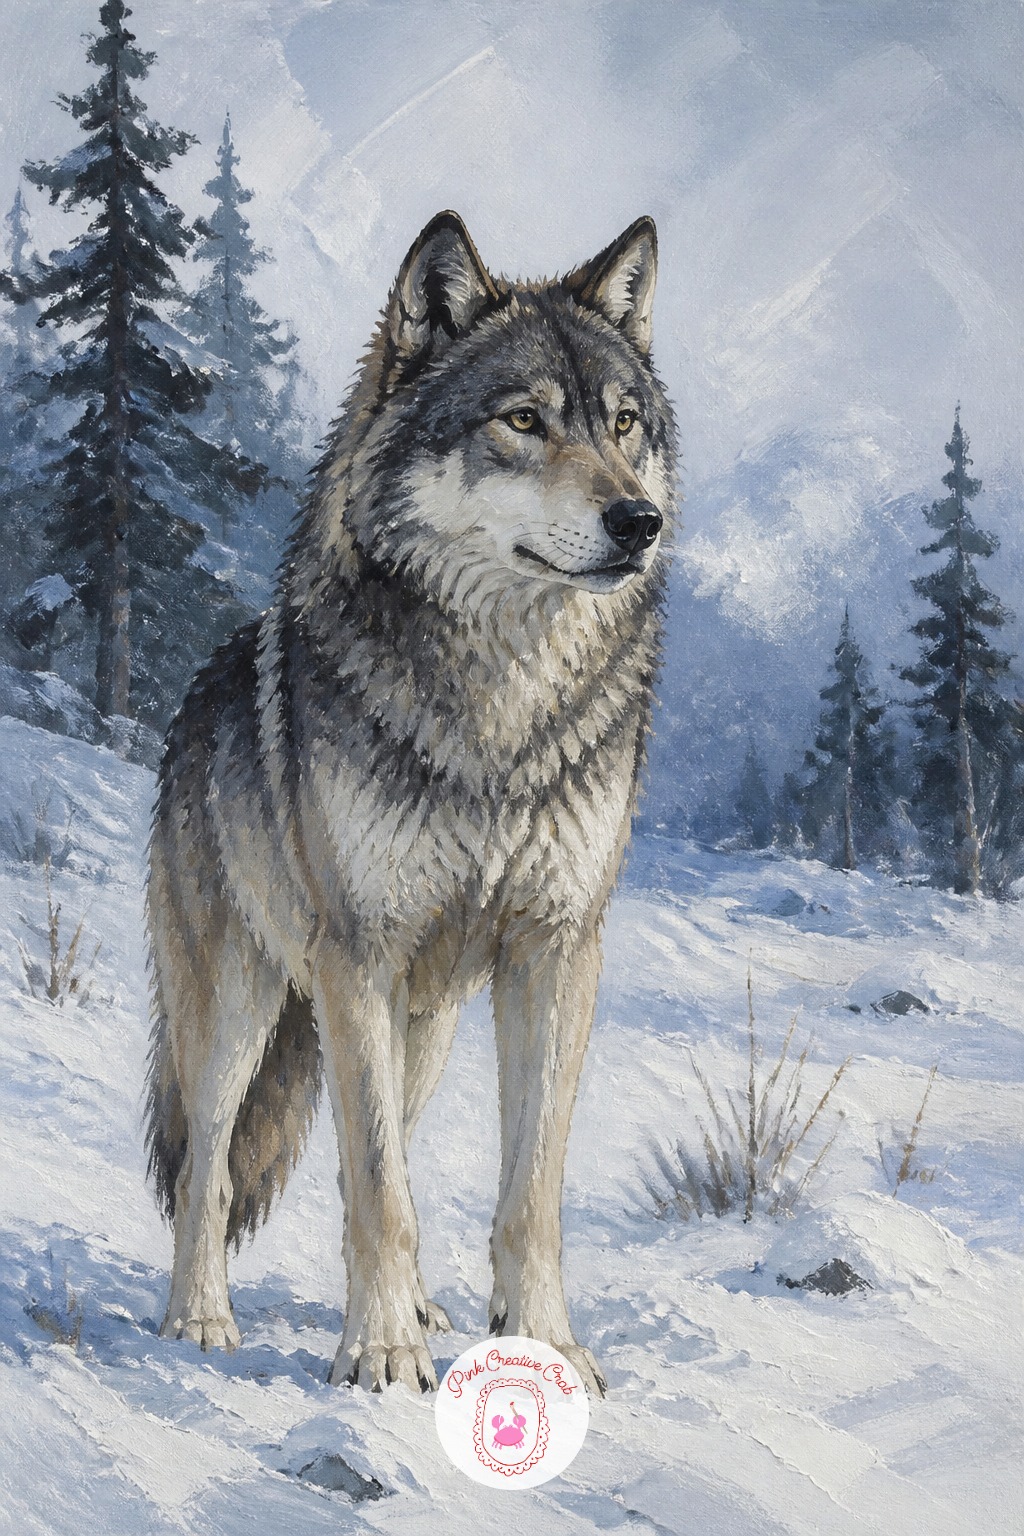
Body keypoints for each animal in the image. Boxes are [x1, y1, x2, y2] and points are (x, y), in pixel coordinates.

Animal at [145, 210, 677, 1396]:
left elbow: (528, 1191)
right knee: (211, 1164)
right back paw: (199, 1317)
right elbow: (378, 1189)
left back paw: (426, 1307)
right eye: (524, 421)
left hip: (418, 1024)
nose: (640, 520)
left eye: (624, 426)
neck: (502, 710)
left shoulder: (557, 949)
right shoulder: (358, 949)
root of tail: (194, 691)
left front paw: (542, 1342)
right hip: (244, 1002)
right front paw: (380, 1354)